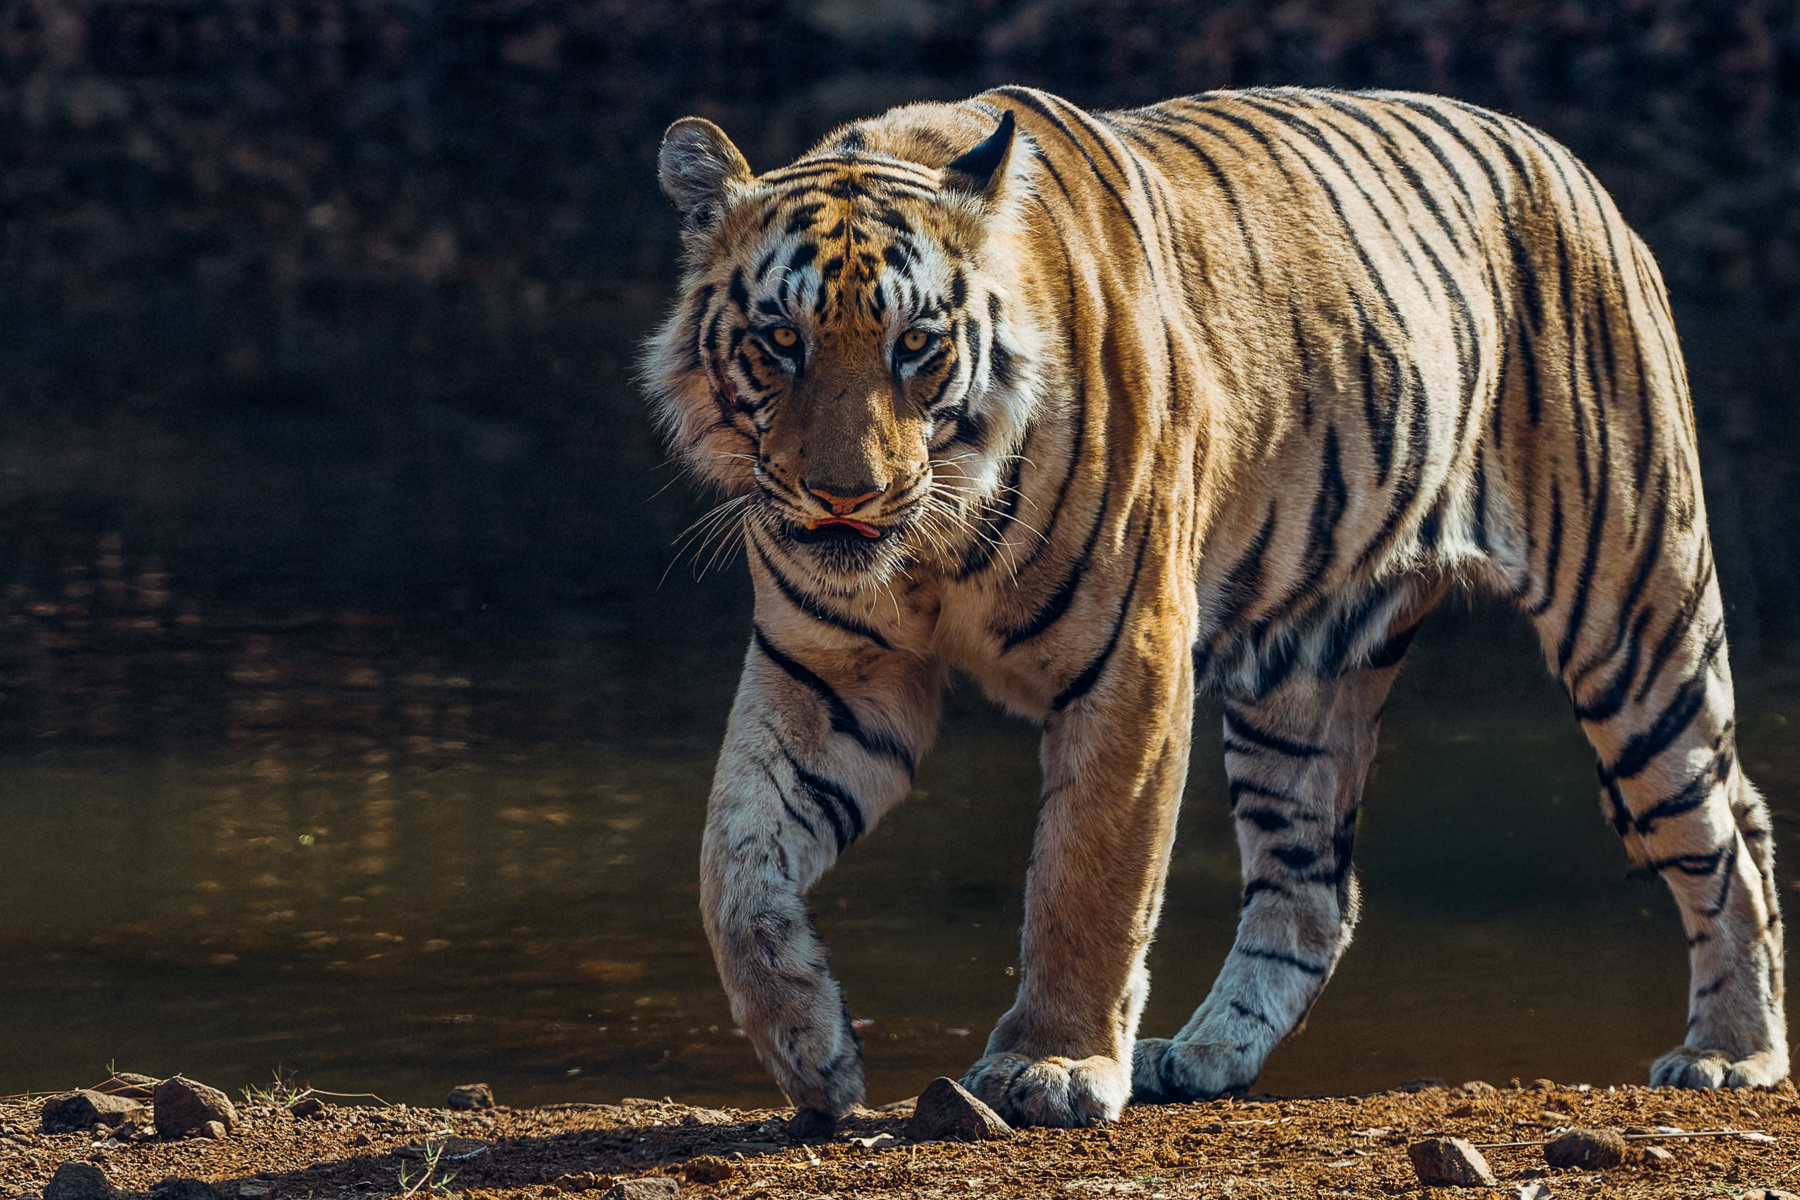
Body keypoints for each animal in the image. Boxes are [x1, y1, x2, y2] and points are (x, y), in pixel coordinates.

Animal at [640, 85, 1787, 1130]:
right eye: (780, 341)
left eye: (916, 344)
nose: (845, 495)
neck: (932, 551)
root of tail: (1568, 161)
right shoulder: (834, 676)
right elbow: (731, 862)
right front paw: (809, 1048)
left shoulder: (1132, 663)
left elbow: (1088, 878)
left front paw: (1052, 1065)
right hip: (1303, 680)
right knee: (1311, 894)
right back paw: (1202, 1056)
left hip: (1634, 619)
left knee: (1728, 833)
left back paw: (1732, 1053)